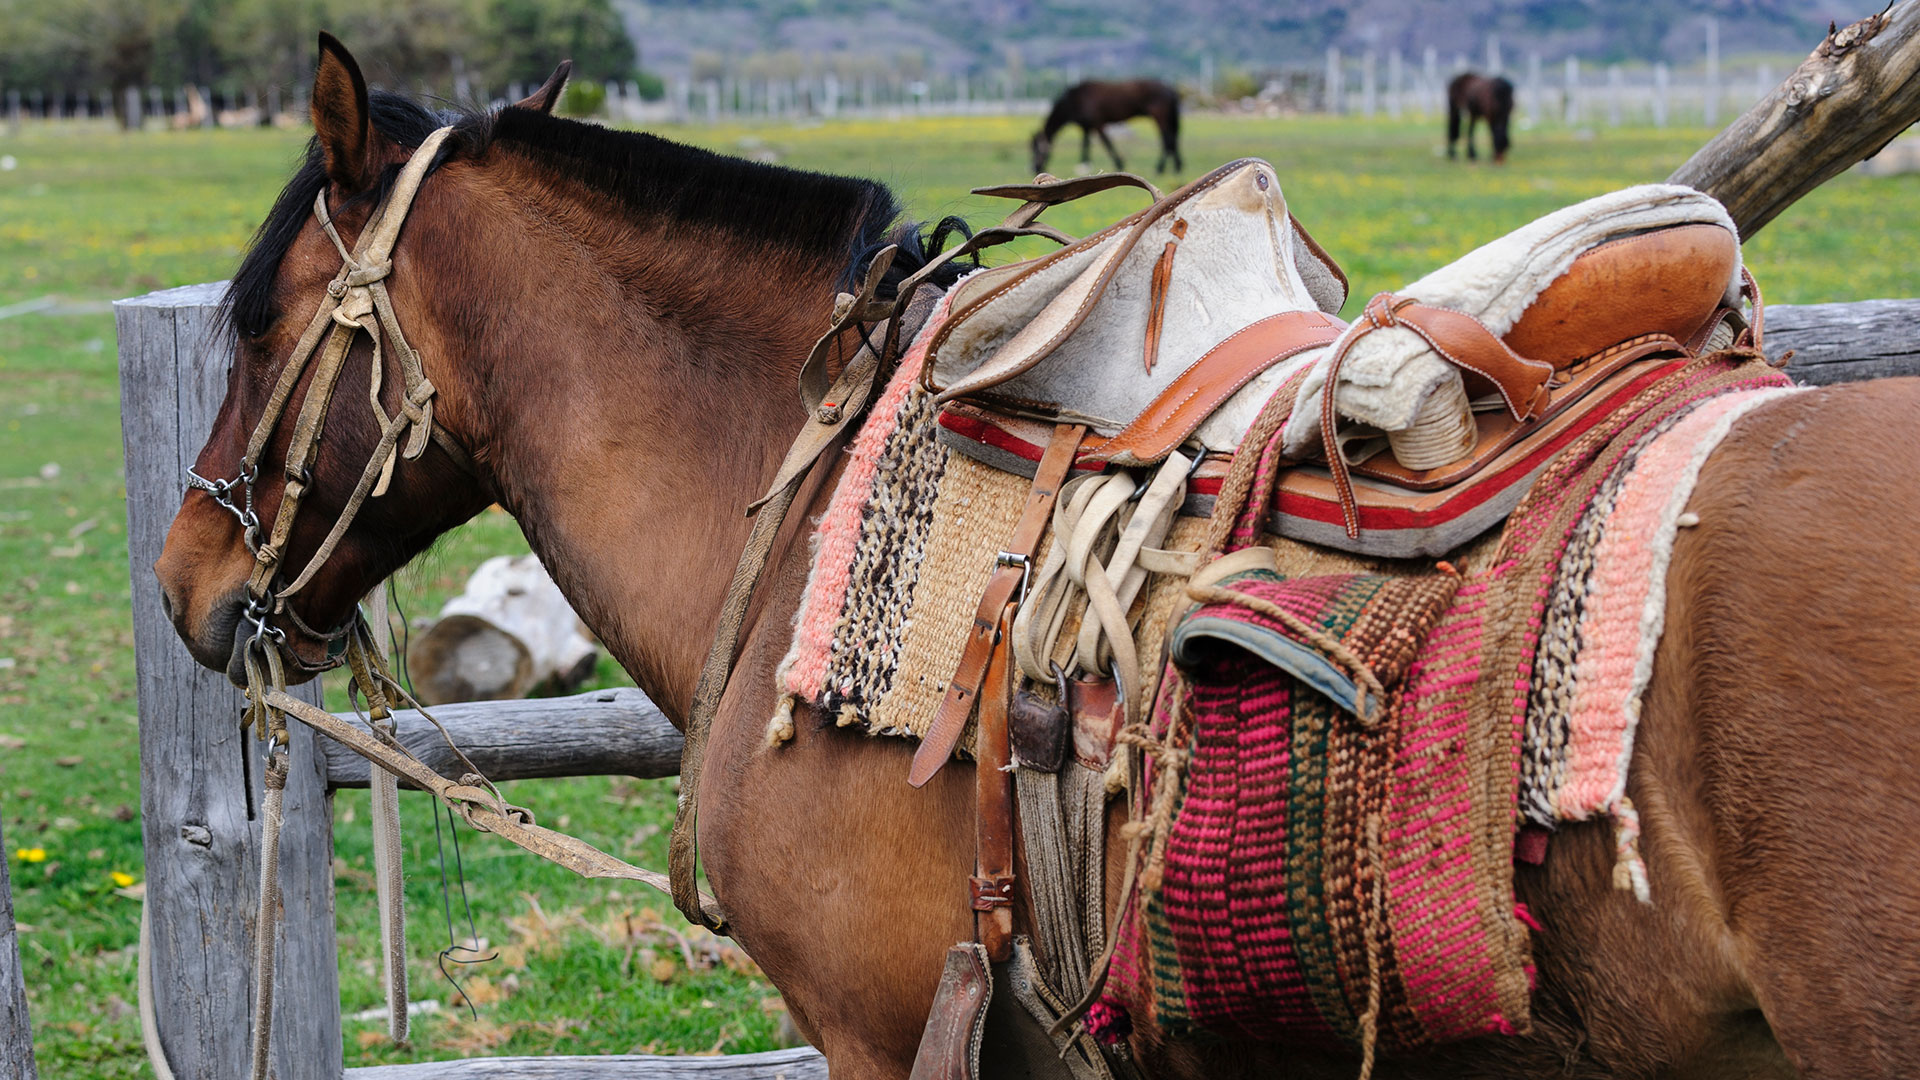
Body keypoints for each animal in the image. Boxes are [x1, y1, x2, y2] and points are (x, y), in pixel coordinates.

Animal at [1031, 79, 1182, 176]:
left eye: (1036, 150)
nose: (1034, 169)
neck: (1074, 100)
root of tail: (1170, 89)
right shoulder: (1087, 127)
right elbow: (1086, 145)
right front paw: (1084, 165)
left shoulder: (1098, 124)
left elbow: (1107, 143)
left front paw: (1119, 164)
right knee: (1172, 140)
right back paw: (1176, 167)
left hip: (1159, 117)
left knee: (1168, 140)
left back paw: (1160, 169)